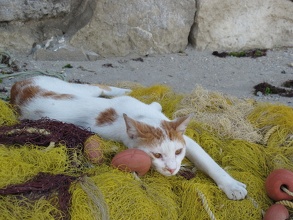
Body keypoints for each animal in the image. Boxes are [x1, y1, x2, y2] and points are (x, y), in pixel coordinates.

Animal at [9, 75, 246, 199]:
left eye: (178, 152)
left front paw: (231, 185)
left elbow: (208, 161)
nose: (172, 169)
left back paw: (130, 91)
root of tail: (19, 84)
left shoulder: (183, 137)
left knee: (100, 87)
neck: (145, 117)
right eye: (157, 155)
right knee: (98, 87)